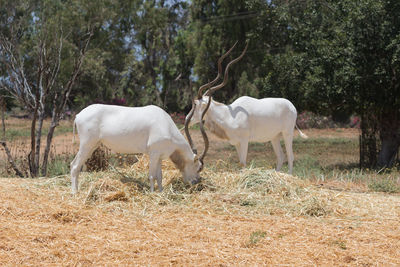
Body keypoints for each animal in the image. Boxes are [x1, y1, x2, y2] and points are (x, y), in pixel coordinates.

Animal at [70, 104, 206, 195]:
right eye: (199, 167)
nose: (197, 182)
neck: (165, 124)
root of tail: (78, 115)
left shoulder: (159, 156)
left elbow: (159, 176)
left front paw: (161, 192)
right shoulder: (153, 154)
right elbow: (152, 175)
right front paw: (152, 193)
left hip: (92, 145)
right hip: (87, 144)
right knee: (74, 165)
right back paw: (74, 192)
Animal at [184, 42, 306, 174]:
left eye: (195, 104)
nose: (187, 118)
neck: (229, 115)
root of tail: (292, 106)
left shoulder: (244, 141)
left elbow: (243, 163)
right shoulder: (237, 143)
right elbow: (240, 164)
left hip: (287, 133)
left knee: (290, 156)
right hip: (274, 137)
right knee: (280, 156)